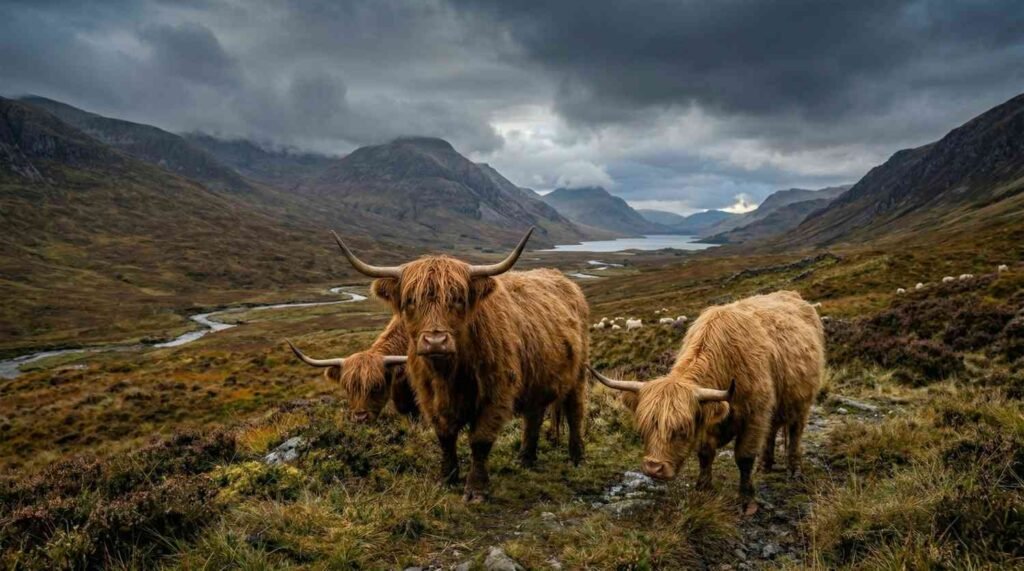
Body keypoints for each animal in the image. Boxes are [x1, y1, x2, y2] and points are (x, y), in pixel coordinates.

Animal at [332, 228, 589, 502]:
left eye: (457, 299)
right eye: (411, 301)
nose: (435, 341)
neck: (448, 373)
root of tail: (564, 280)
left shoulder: (496, 393)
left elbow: (480, 440)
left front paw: (476, 489)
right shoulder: (428, 398)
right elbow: (445, 436)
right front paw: (447, 478)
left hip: (578, 374)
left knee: (575, 412)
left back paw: (576, 457)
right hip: (538, 378)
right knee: (534, 414)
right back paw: (525, 459)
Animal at [590, 291, 824, 515]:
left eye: (682, 429)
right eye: (644, 428)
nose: (653, 468)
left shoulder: (754, 415)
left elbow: (744, 458)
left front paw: (747, 501)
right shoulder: (707, 418)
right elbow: (705, 454)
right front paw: (703, 489)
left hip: (801, 402)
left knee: (795, 432)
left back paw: (794, 469)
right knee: (772, 430)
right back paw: (765, 466)